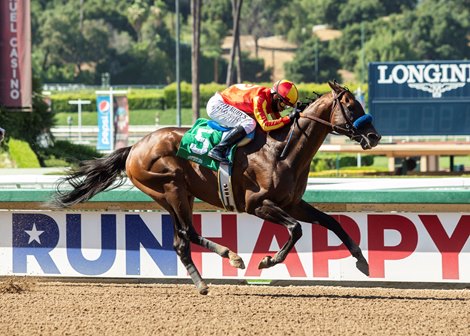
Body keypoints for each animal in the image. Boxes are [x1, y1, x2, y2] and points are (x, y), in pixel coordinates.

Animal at [51, 80, 382, 294]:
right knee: (185, 234)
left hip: (179, 194)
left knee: (183, 238)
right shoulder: (257, 204)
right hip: (170, 187)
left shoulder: (292, 203)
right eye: (350, 105)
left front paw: (362, 261)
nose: (374, 136)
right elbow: (296, 229)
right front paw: (267, 260)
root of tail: (134, 147)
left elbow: (331, 222)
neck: (282, 151)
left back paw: (213, 271)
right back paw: (223, 264)